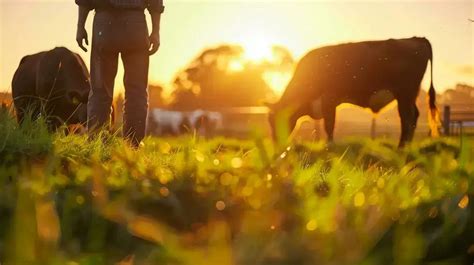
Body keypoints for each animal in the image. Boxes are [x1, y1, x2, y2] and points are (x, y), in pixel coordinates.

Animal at [266, 36, 436, 146]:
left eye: (275, 120)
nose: (276, 143)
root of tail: (416, 38)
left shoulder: (329, 98)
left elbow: (329, 124)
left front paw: (330, 146)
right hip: (409, 96)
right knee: (414, 116)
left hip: (405, 94)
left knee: (407, 118)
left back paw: (401, 147)